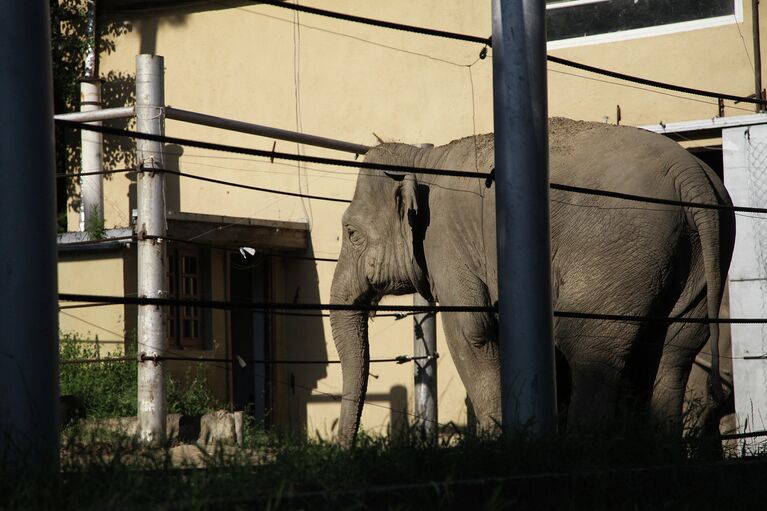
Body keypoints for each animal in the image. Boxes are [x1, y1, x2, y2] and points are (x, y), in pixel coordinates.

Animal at [332, 119, 736, 448]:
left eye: (351, 233)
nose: (346, 450)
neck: (424, 160)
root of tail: (693, 178)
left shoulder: (446, 241)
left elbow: (471, 331)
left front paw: (498, 445)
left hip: (619, 259)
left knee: (588, 350)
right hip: (695, 267)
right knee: (669, 356)